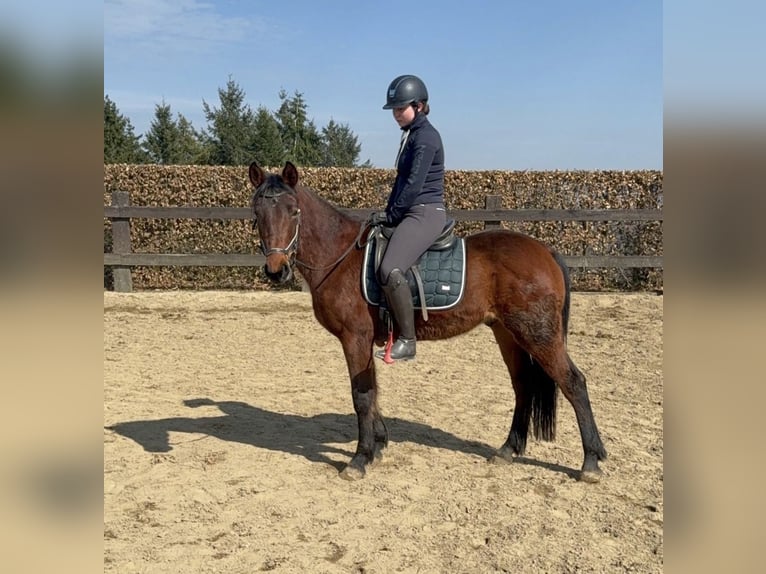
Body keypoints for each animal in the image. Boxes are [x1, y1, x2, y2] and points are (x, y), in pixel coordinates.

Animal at [248, 161, 607, 482]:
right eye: (257, 214)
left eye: (294, 211)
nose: (276, 270)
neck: (341, 255)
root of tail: (545, 251)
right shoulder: (366, 341)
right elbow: (373, 390)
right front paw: (379, 444)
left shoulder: (355, 338)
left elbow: (361, 395)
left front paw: (360, 458)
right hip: (508, 333)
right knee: (523, 385)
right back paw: (508, 449)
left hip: (538, 334)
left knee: (573, 382)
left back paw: (590, 462)